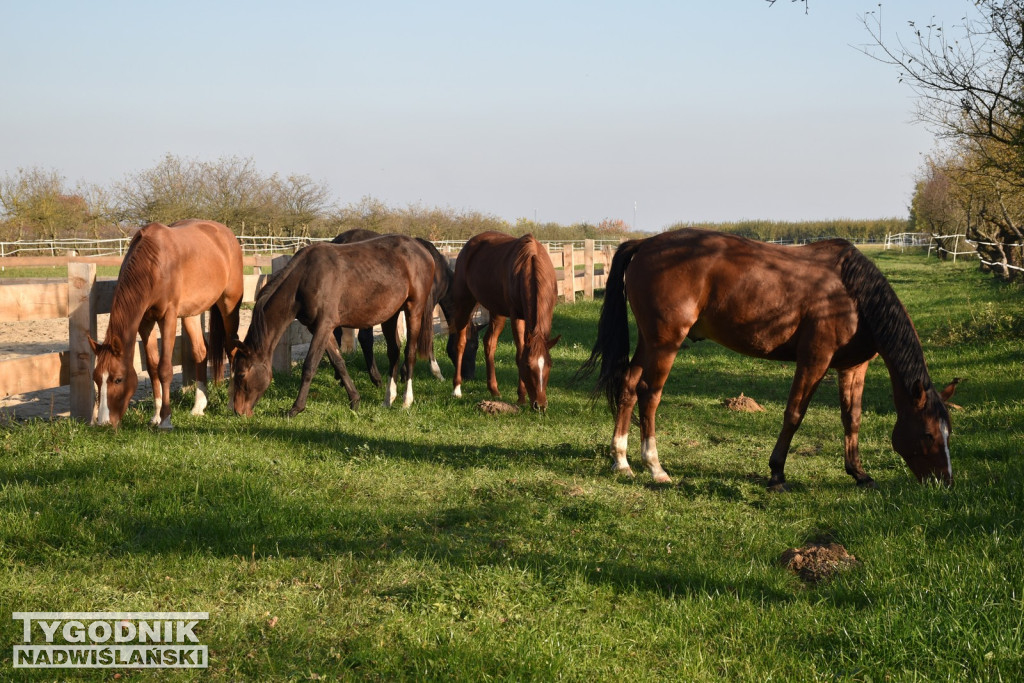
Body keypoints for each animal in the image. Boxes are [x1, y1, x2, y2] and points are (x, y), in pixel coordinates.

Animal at [86, 220, 241, 428]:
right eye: (96, 378)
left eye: (118, 379)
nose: (104, 422)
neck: (153, 264)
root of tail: (226, 233)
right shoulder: (145, 322)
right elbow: (153, 368)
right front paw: (156, 416)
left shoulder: (168, 317)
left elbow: (165, 369)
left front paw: (166, 420)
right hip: (191, 313)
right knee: (200, 351)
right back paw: (198, 407)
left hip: (229, 305)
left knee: (232, 350)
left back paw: (231, 405)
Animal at [232, 235, 436, 417]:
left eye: (241, 374)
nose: (238, 411)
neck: (305, 278)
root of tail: (421, 248)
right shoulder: (320, 328)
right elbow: (338, 362)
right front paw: (355, 400)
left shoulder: (324, 325)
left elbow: (310, 365)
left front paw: (296, 408)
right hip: (391, 315)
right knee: (394, 351)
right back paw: (388, 399)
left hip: (414, 310)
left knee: (410, 352)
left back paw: (406, 401)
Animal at [448, 229, 561, 411]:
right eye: (528, 366)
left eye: (549, 365)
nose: (540, 405)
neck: (529, 266)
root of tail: (469, 245)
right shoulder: (516, 317)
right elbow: (519, 353)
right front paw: (521, 397)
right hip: (464, 303)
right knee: (461, 342)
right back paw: (456, 389)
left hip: (497, 312)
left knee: (489, 342)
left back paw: (494, 390)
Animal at [581, 232, 954, 489]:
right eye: (928, 435)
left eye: (948, 433)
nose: (945, 482)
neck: (853, 294)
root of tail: (645, 243)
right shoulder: (814, 360)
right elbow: (794, 415)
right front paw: (776, 473)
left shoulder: (852, 367)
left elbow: (852, 419)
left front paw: (859, 473)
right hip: (665, 344)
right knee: (650, 395)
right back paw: (655, 467)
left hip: (650, 342)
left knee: (629, 387)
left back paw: (621, 461)